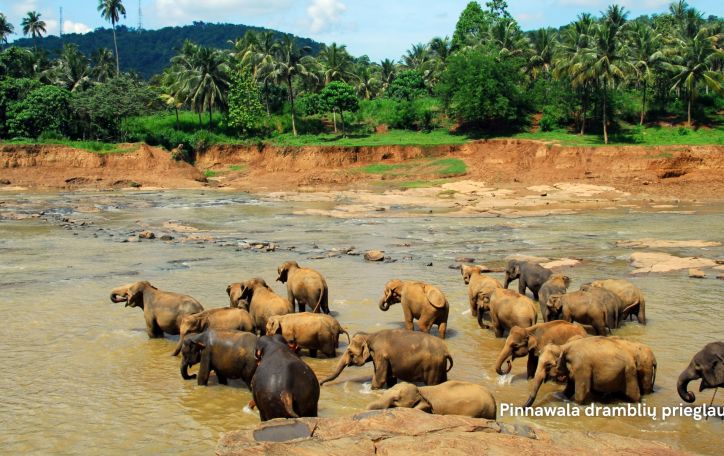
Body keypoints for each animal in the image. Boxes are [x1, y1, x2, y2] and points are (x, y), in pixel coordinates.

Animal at [320, 330, 452, 390]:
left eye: (349, 351)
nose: (321, 384)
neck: (369, 335)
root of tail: (446, 351)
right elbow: (390, 379)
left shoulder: (381, 356)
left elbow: (380, 379)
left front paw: (372, 389)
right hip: (440, 366)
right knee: (443, 381)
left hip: (432, 366)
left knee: (432, 384)